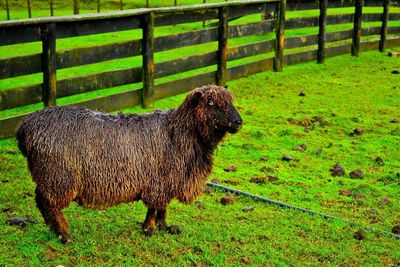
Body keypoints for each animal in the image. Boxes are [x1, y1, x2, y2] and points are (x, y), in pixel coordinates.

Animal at [16, 85, 241, 244]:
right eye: (210, 102)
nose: (239, 122)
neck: (179, 132)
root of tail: (24, 129)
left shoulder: (168, 181)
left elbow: (163, 207)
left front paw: (164, 226)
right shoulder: (158, 182)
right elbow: (153, 207)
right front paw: (149, 229)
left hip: (49, 176)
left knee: (41, 201)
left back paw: (54, 229)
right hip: (58, 177)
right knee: (48, 204)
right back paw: (63, 234)